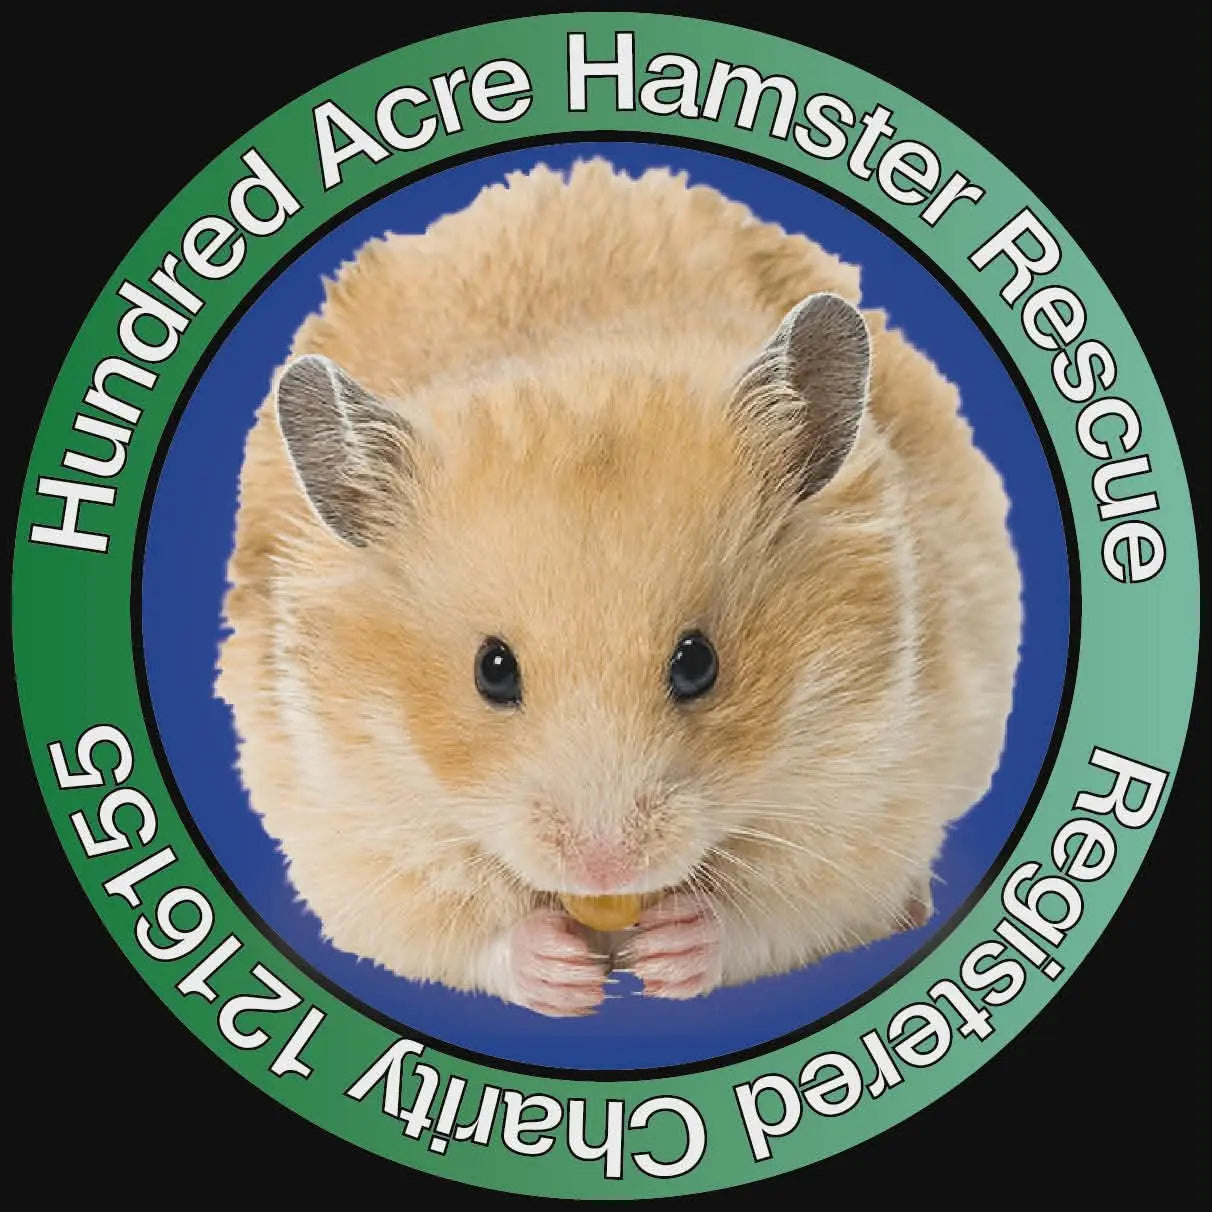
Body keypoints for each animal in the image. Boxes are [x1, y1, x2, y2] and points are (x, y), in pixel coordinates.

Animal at [216, 159, 1022, 1017]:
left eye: (698, 663)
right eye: (491, 671)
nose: (606, 869)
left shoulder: (875, 790)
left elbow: (785, 910)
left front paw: (670, 950)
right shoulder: (345, 824)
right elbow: (450, 927)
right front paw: (567, 978)